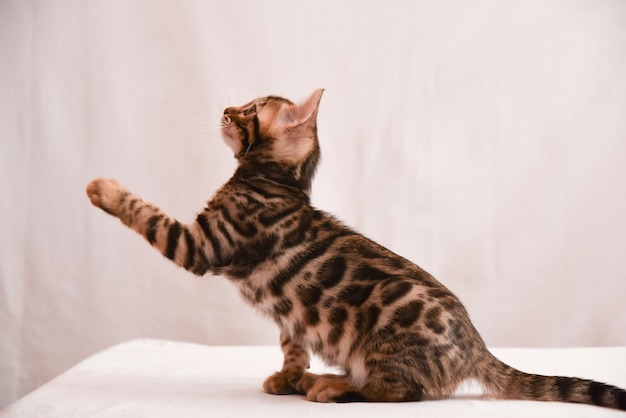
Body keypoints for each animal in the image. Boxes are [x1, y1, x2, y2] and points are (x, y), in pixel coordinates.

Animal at [86, 90, 624, 410]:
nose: (225, 109)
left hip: (387, 340)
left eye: (251, 111)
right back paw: (313, 381)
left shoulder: (203, 243)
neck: (276, 181)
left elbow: (147, 215)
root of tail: (476, 346)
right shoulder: (290, 317)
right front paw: (289, 375)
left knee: (398, 392)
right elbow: (292, 344)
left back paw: (334, 385)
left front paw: (104, 189)